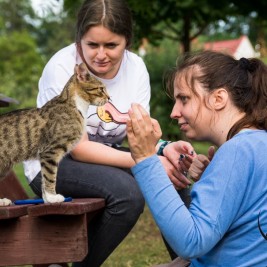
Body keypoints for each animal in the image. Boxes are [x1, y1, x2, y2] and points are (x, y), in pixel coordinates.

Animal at [0, 63, 110, 207]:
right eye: (101, 89)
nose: (109, 98)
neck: (75, 105)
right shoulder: (50, 151)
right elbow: (50, 176)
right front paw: (52, 197)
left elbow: (44, 178)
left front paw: (47, 199)